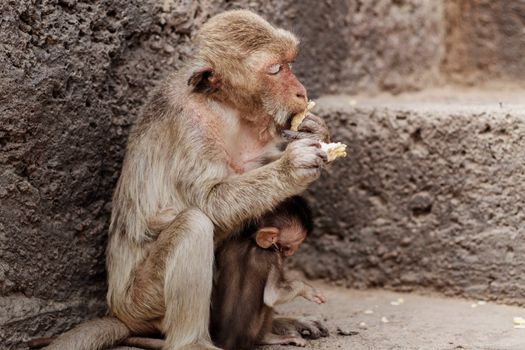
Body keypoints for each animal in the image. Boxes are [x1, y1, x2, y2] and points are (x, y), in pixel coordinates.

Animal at [210, 197, 326, 350]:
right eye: (289, 248)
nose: (290, 254)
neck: (252, 242)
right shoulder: (274, 257)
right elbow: (272, 295)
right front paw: (308, 290)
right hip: (253, 333)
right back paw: (269, 338)